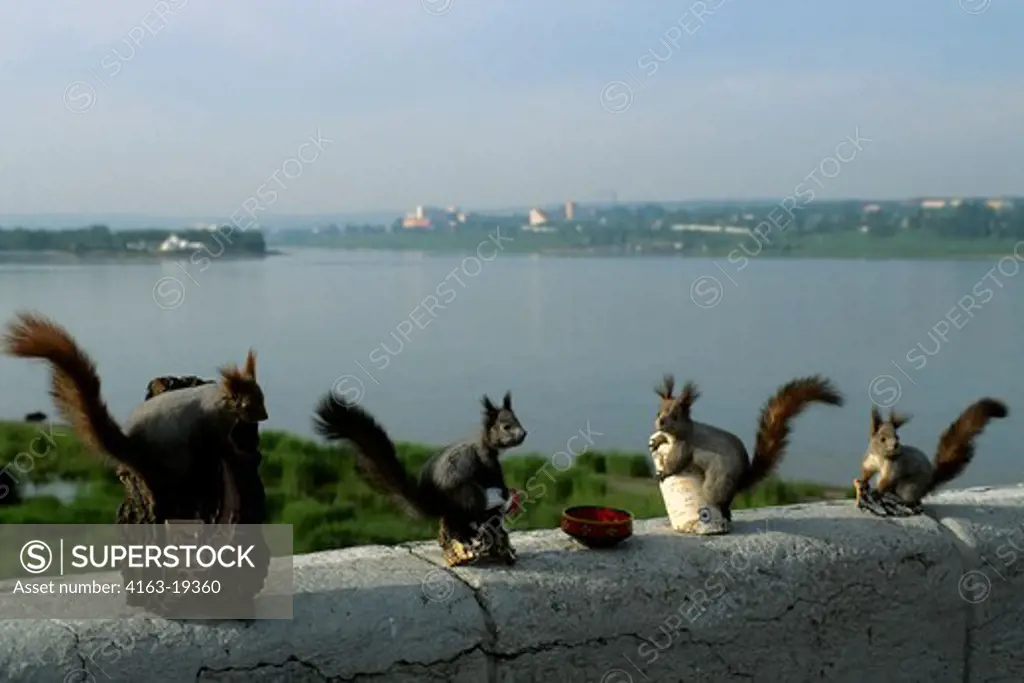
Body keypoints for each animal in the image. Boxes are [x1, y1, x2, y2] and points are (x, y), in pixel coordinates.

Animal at [311, 389, 528, 561]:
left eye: (518, 420)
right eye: (506, 427)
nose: (523, 434)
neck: (484, 442)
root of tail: (438, 505)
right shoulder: (486, 461)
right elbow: (495, 479)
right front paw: (505, 492)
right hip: (469, 495)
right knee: (463, 519)